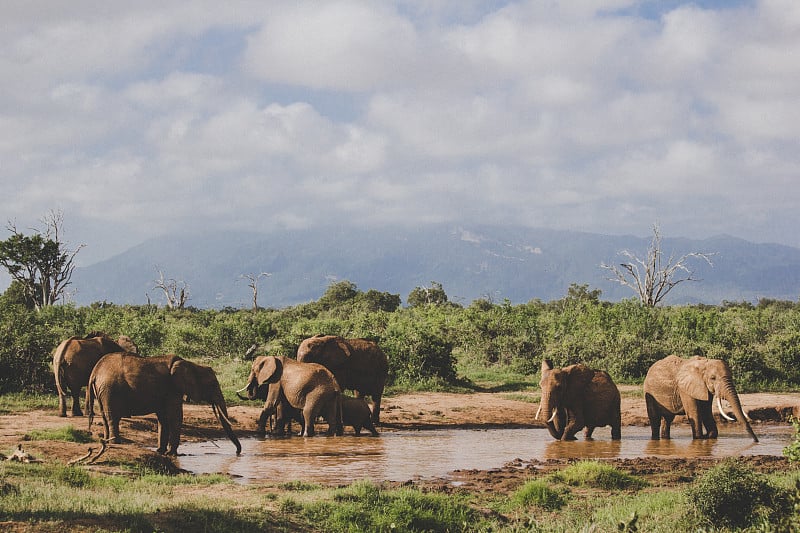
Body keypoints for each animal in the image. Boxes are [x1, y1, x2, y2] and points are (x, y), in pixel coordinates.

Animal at [86, 352, 241, 456]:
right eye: (213, 384)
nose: (238, 452)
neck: (192, 365)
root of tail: (95, 372)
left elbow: (163, 418)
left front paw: (161, 451)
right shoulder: (173, 388)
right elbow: (175, 417)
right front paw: (173, 454)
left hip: (102, 391)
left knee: (105, 417)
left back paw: (107, 442)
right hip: (110, 390)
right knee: (113, 417)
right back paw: (115, 443)